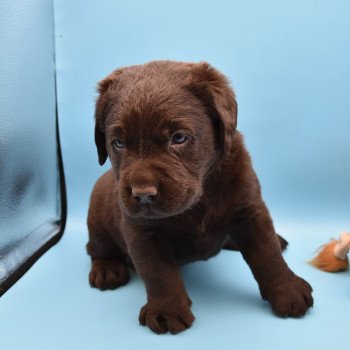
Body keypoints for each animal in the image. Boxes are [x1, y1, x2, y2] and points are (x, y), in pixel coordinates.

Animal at [86, 60, 314, 334]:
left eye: (179, 138)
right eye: (118, 143)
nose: (143, 195)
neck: (201, 196)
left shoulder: (250, 209)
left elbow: (267, 253)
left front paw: (287, 290)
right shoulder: (142, 230)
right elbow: (158, 271)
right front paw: (167, 310)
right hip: (97, 217)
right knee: (97, 248)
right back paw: (107, 270)